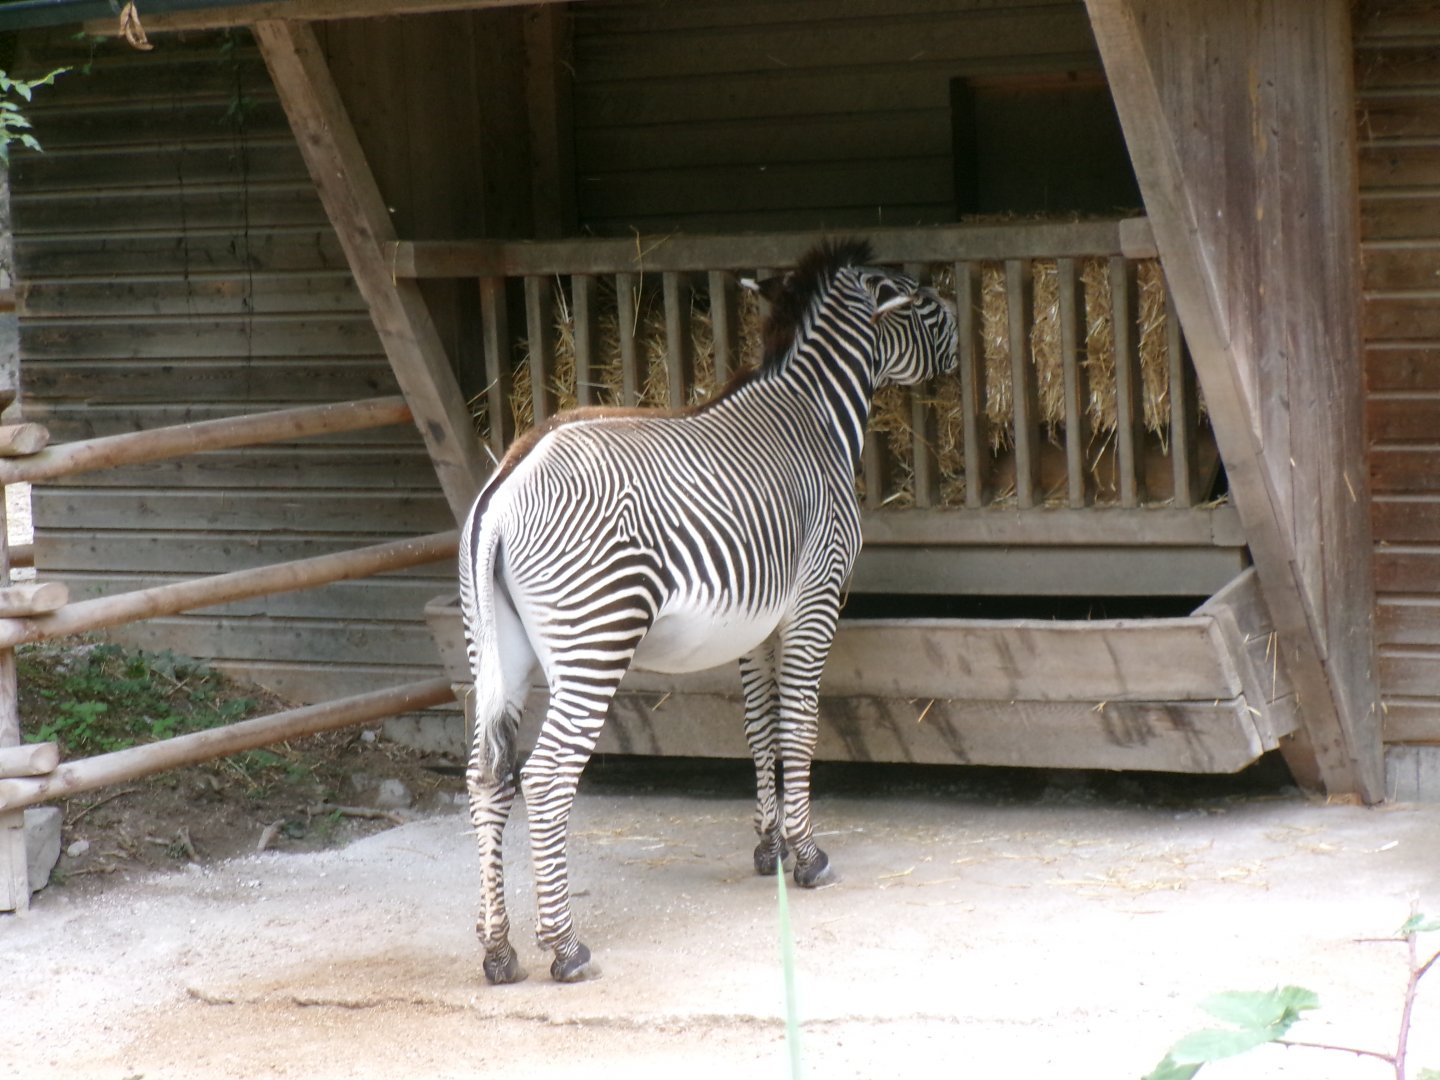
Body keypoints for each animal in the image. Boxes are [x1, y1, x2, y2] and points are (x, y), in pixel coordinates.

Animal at [459, 239, 958, 984]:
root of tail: (510, 480)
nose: (958, 330)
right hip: (593, 637)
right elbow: (799, 726)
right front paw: (808, 857)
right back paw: (566, 948)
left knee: (486, 777)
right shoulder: (816, 597)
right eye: (919, 300)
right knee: (545, 779)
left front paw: (769, 847)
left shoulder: (753, 625)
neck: (816, 414)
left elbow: (759, 727)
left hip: (498, 650)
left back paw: (498, 949)